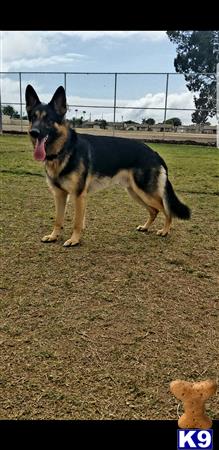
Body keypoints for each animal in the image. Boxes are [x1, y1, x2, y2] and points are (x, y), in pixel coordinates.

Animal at [25, 84, 190, 246]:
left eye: (48, 119)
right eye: (33, 118)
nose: (34, 132)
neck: (64, 149)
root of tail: (154, 153)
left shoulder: (78, 195)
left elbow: (77, 222)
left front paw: (74, 240)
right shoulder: (59, 195)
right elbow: (58, 220)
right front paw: (54, 236)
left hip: (145, 192)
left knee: (167, 210)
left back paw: (165, 231)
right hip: (135, 192)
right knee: (154, 211)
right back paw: (145, 227)